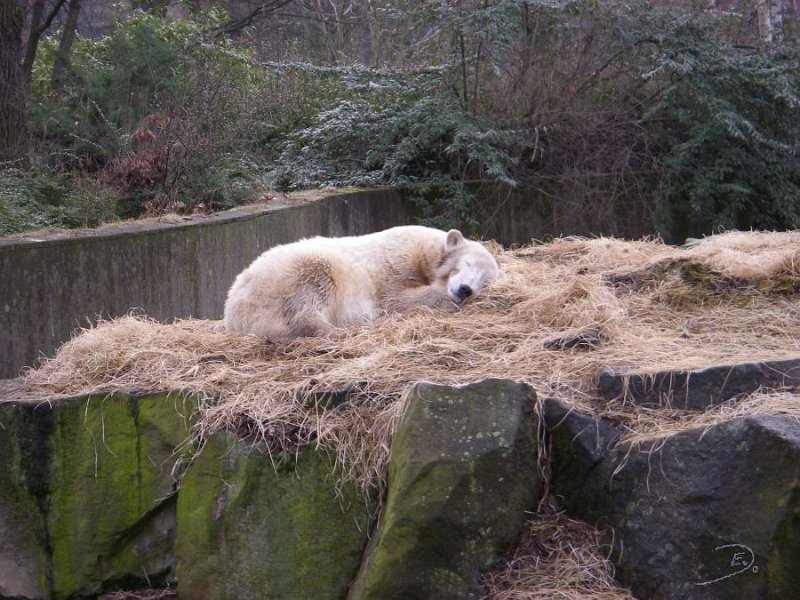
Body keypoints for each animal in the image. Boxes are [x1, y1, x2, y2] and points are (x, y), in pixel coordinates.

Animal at [223, 225, 500, 338]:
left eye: (484, 281)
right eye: (467, 264)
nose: (465, 289)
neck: (425, 253)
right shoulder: (395, 261)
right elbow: (395, 299)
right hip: (287, 274)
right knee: (311, 287)